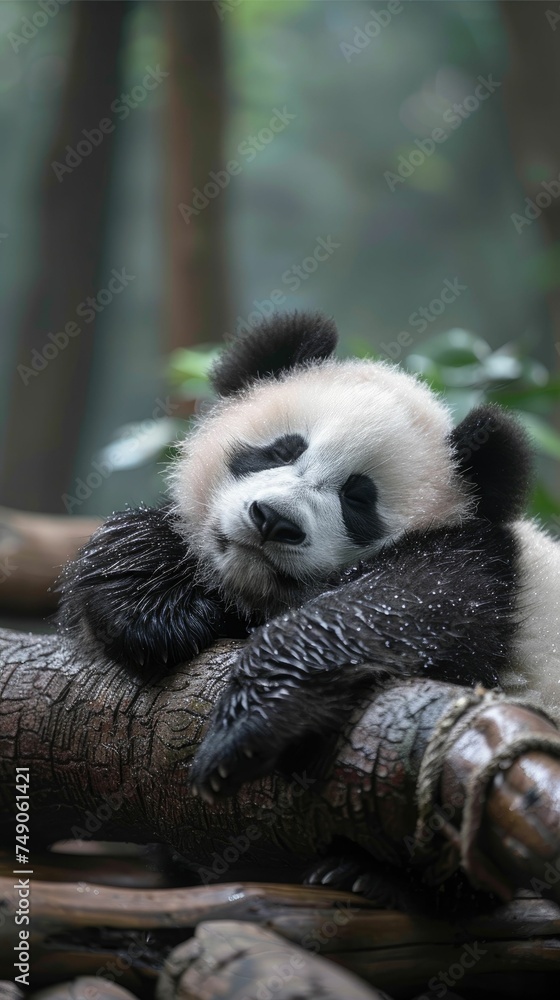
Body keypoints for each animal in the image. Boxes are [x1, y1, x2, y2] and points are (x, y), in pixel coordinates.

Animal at [59, 311, 560, 804]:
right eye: (283, 449)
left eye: (357, 499)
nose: (273, 521)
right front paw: (153, 612)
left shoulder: (474, 567)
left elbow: (395, 608)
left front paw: (246, 729)